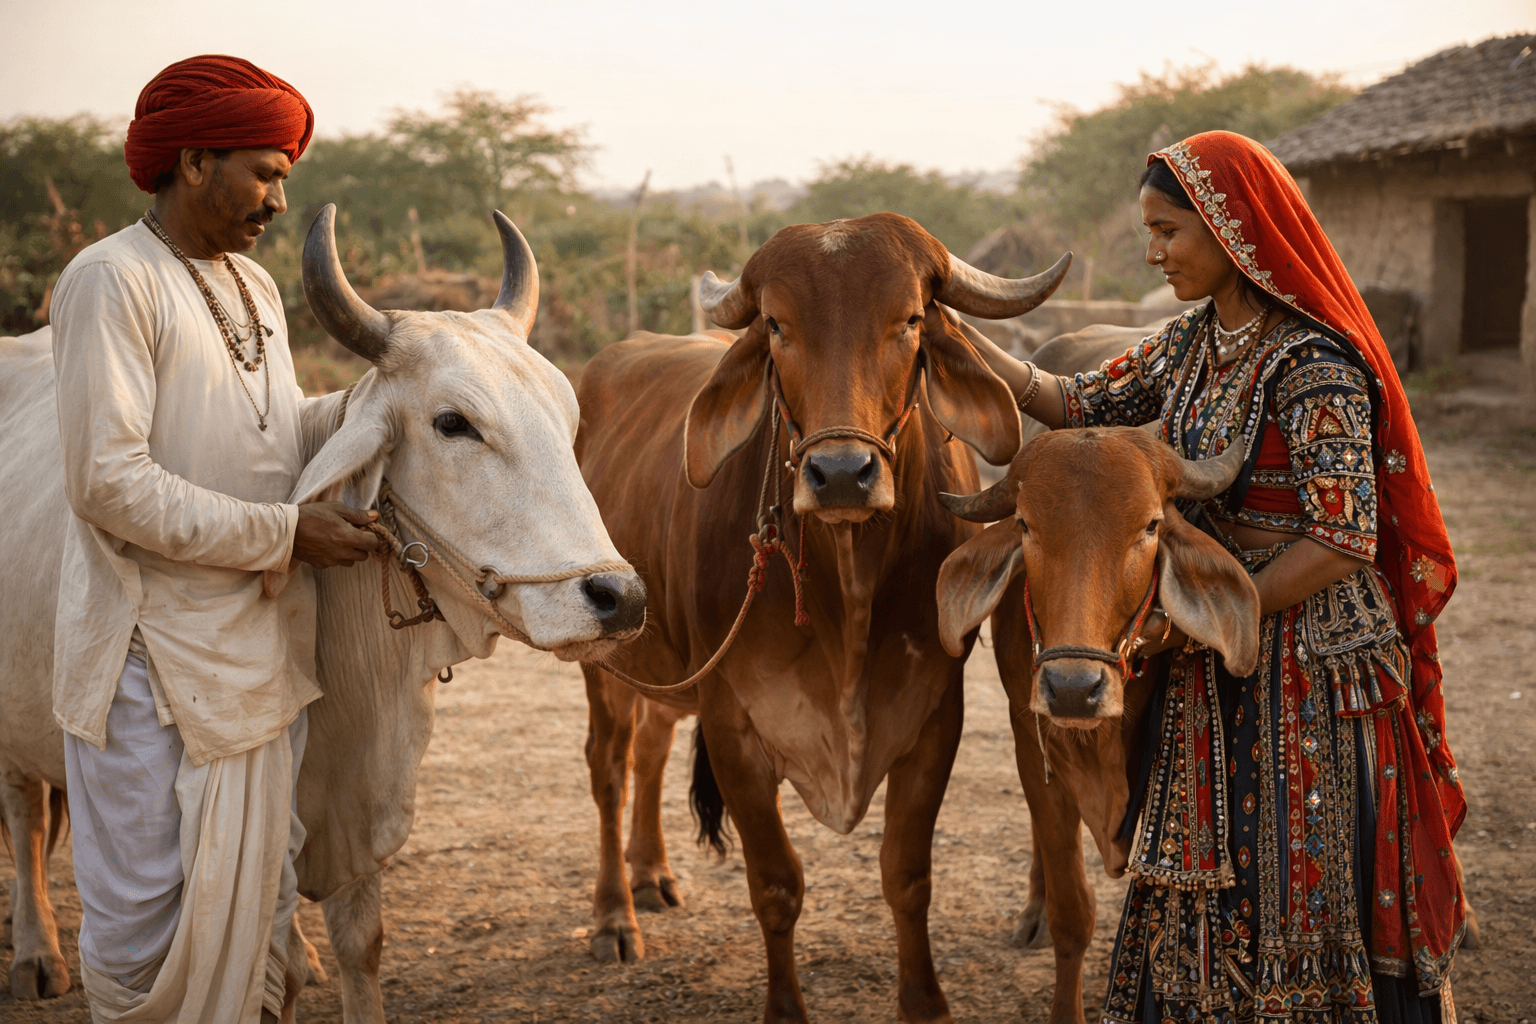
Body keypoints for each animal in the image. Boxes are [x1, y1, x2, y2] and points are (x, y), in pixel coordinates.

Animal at [0, 204, 646, 1023]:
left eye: (570, 420)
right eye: (453, 423)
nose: (620, 597)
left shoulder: (355, 809)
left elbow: (356, 943)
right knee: (24, 812)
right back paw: (35, 953)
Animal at [573, 212, 1071, 1024]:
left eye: (910, 319)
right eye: (777, 324)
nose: (841, 474)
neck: (848, 601)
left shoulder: (933, 716)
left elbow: (906, 874)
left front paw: (926, 1004)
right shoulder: (734, 727)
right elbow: (776, 884)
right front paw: (786, 1009)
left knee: (649, 749)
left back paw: (652, 876)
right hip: (602, 654)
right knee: (610, 767)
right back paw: (616, 913)